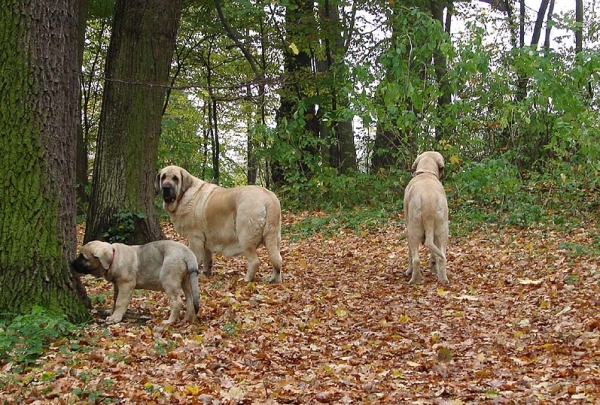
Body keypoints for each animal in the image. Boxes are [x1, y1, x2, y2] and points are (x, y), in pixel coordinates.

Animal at [70, 240, 202, 322]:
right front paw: (112, 313)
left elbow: (120, 302)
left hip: (169, 279)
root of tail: (187, 252)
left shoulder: (126, 285)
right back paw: (187, 319)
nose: (71, 263)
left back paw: (170, 321)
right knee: (190, 300)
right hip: (187, 280)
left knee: (177, 302)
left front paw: (115, 318)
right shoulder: (117, 286)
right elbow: (115, 300)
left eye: (83, 257)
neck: (114, 258)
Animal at [404, 151, 450, 284]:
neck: (426, 173)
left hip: (413, 230)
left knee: (416, 260)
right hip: (442, 229)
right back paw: (443, 279)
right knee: (441, 257)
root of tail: (428, 200)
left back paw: (414, 280)